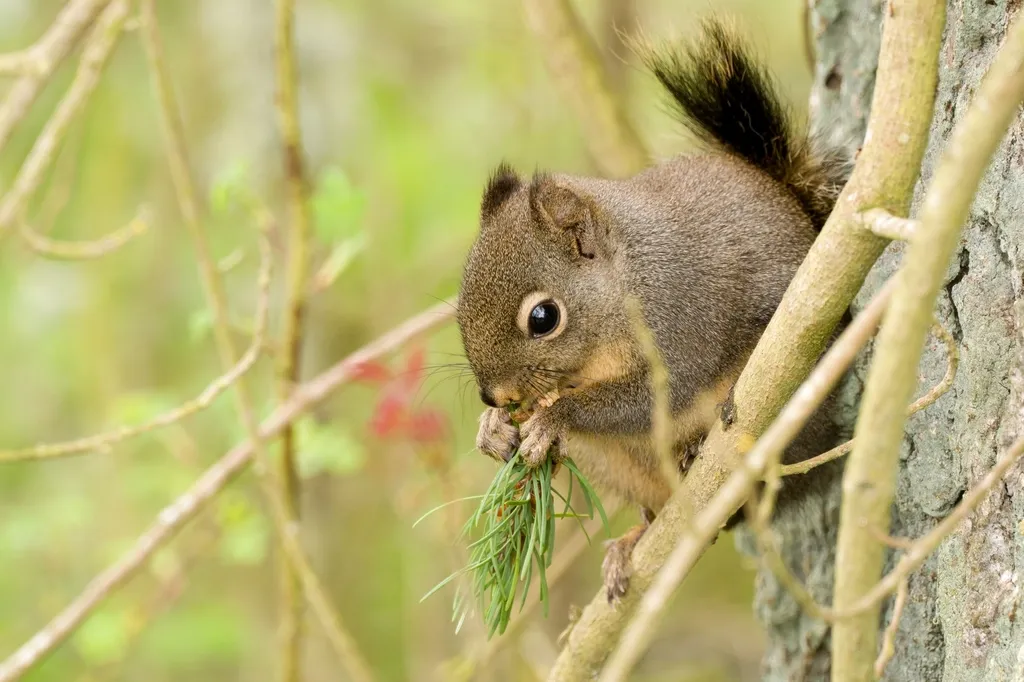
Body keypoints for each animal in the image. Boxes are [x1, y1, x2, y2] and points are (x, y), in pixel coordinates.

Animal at [456, 17, 851, 602]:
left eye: (543, 317)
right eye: (459, 302)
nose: (494, 395)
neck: (628, 284)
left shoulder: (680, 322)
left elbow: (648, 400)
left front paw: (556, 417)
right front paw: (491, 428)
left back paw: (695, 453)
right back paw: (631, 544)